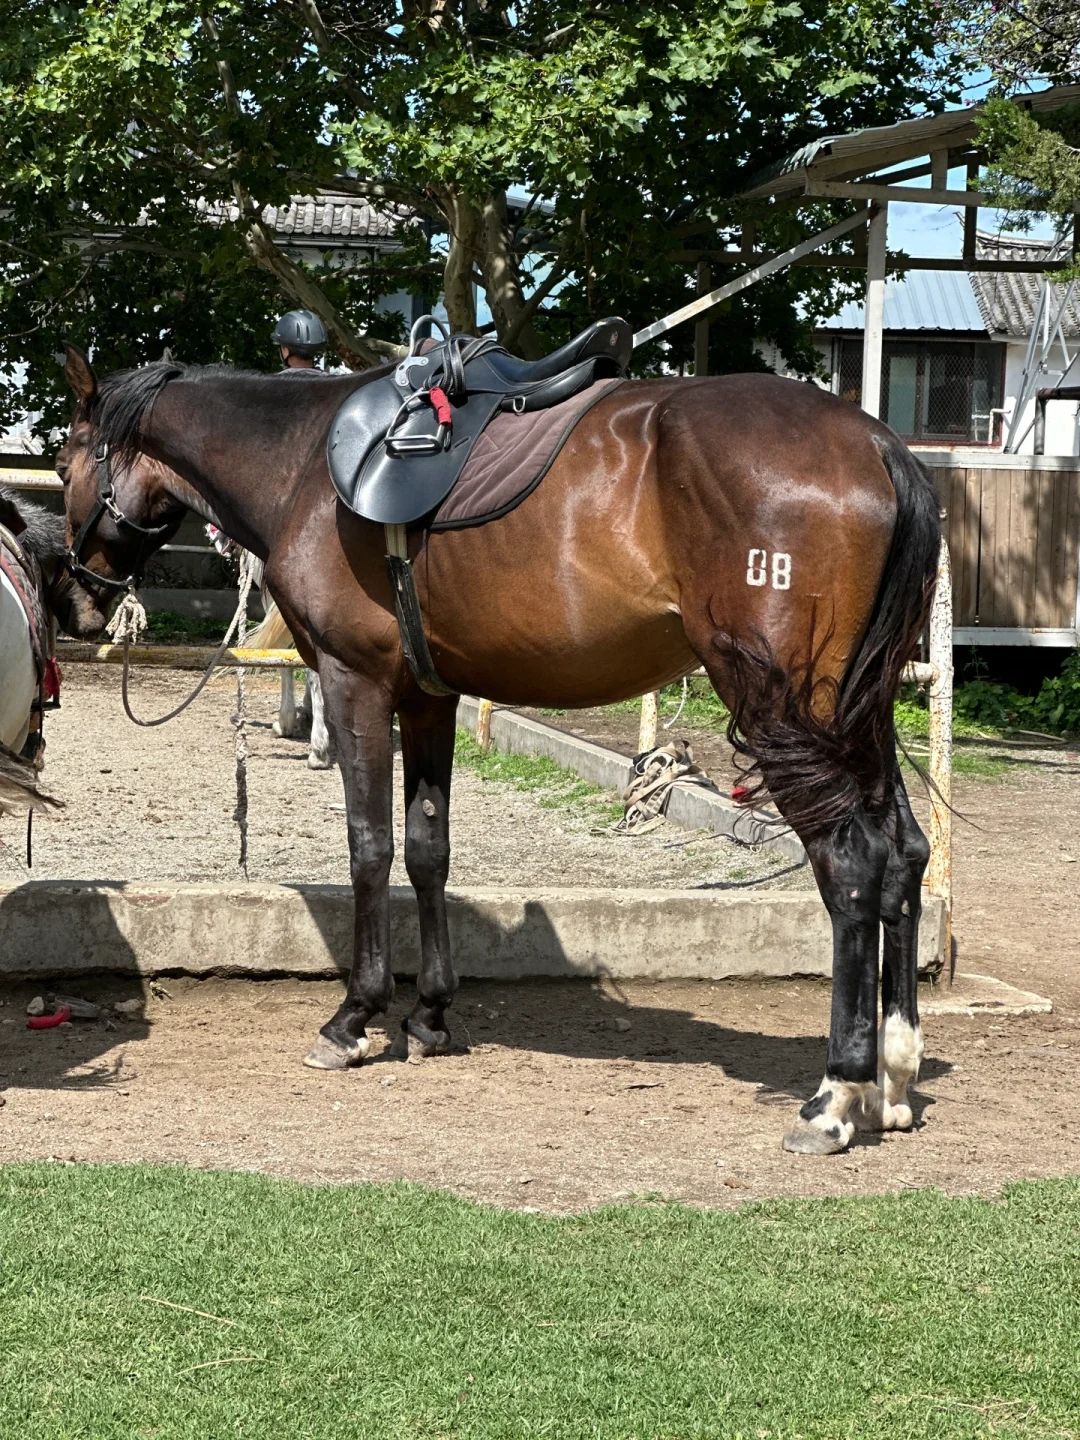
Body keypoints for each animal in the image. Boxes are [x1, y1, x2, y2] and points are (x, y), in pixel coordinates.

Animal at [55, 343, 939, 1156]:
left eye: (64, 457)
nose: (78, 597)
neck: (304, 461)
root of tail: (877, 447)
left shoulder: (354, 683)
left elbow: (370, 848)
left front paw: (355, 1017)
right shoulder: (430, 698)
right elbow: (428, 849)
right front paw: (430, 1014)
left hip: (788, 710)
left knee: (851, 866)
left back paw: (837, 1094)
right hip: (860, 714)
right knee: (903, 854)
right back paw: (892, 1078)